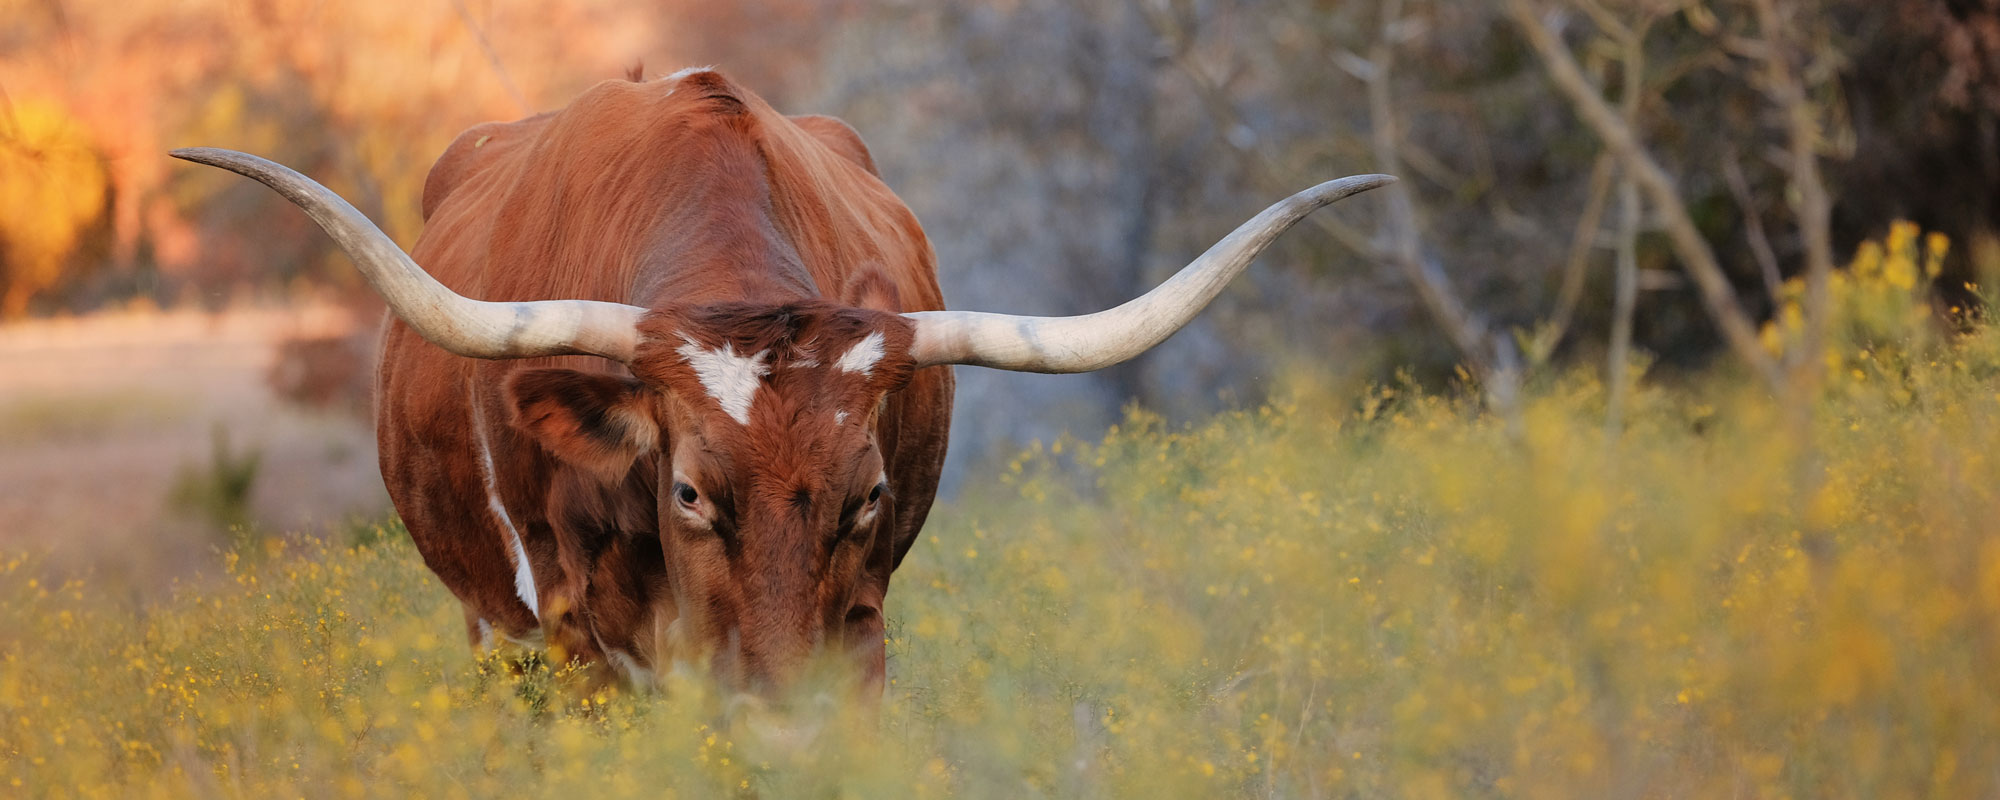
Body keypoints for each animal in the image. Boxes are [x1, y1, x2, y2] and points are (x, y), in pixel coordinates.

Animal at [172, 68, 1389, 695]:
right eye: (688, 491)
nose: (775, 704)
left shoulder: (858, 628)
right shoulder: (576, 634)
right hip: (490, 627)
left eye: (867, 493)